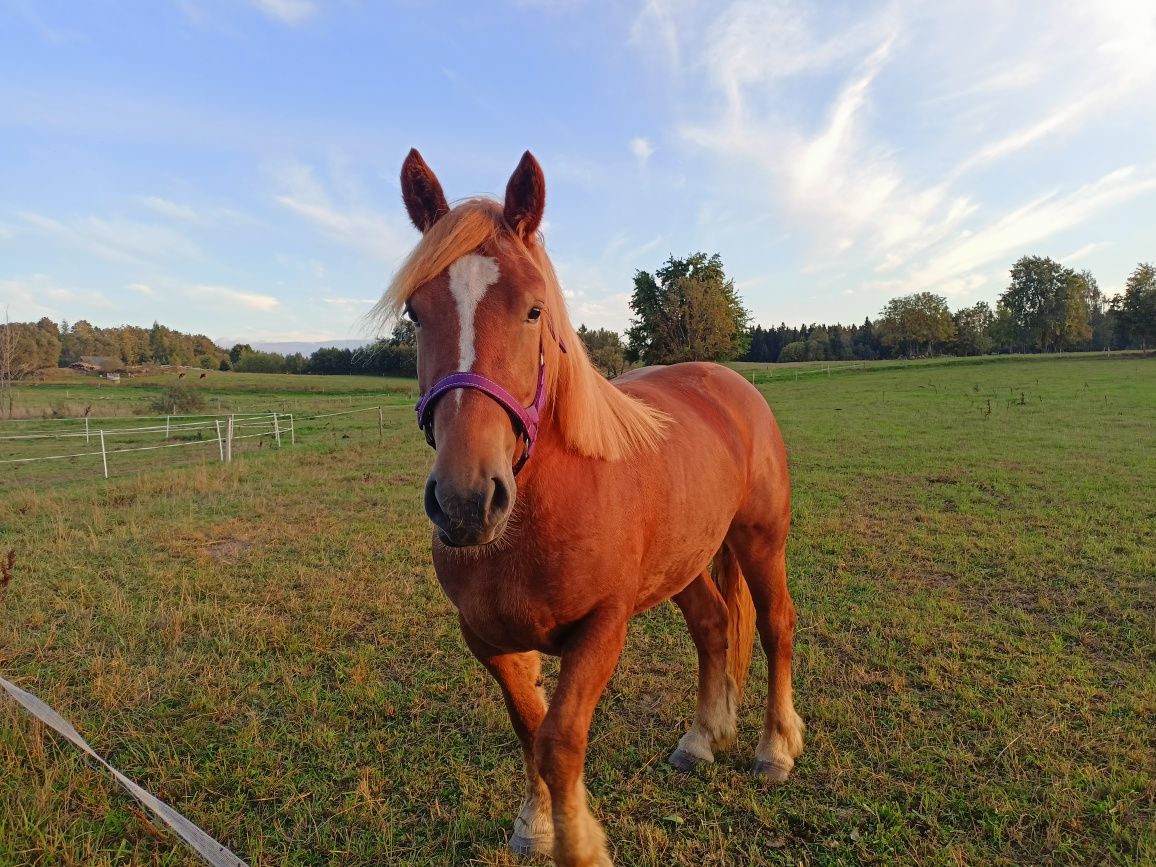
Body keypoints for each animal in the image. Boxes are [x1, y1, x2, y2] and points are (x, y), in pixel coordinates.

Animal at [379, 151, 804, 867]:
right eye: (415, 313)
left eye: (533, 310)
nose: (466, 502)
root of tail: (730, 383)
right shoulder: (487, 638)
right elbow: (530, 727)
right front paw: (535, 824)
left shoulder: (601, 629)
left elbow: (560, 740)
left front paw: (577, 843)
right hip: (685, 563)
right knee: (714, 627)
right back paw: (700, 739)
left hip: (759, 539)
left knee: (776, 625)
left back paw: (775, 749)